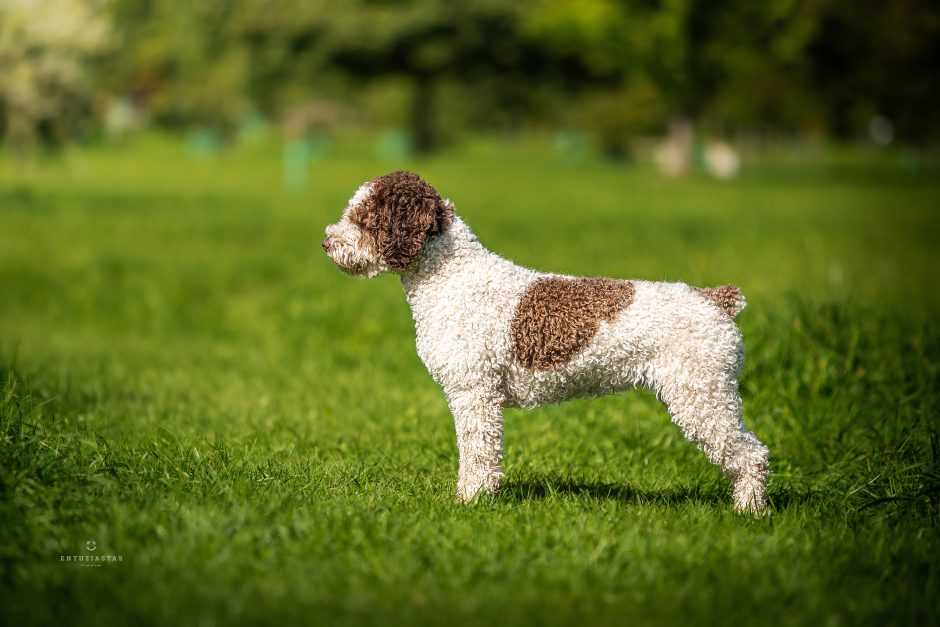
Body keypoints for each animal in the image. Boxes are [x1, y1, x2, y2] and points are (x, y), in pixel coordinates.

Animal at [324, 172, 772, 516]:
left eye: (364, 219)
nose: (327, 243)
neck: (452, 277)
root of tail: (716, 298)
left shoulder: (475, 394)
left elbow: (478, 455)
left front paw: (470, 501)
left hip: (703, 394)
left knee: (752, 455)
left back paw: (748, 511)